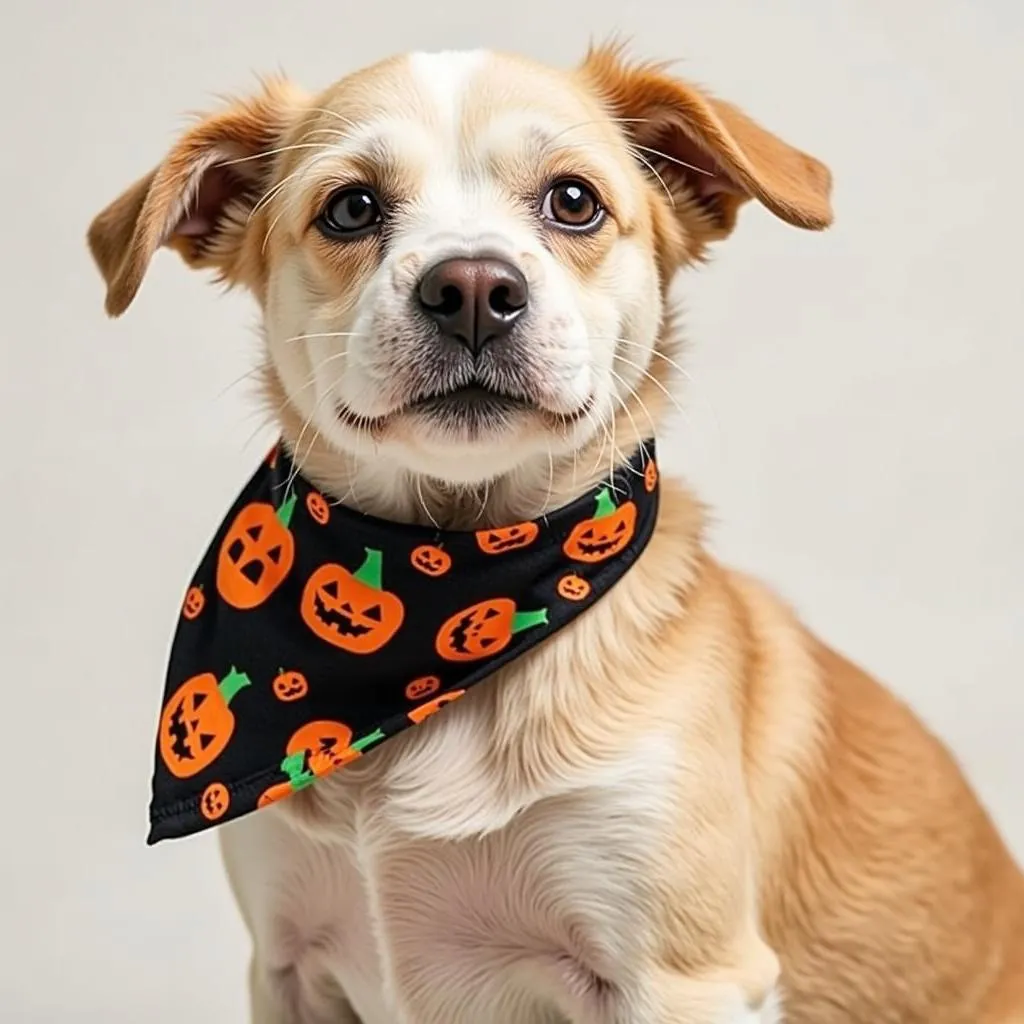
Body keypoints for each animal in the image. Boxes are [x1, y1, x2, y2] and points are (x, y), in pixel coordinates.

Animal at [90, 44, 1024, 1019]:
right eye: (351, 207)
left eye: (573, 200)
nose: (471, 288)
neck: (450, 590)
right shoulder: (286, 966)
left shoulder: (680, 977)